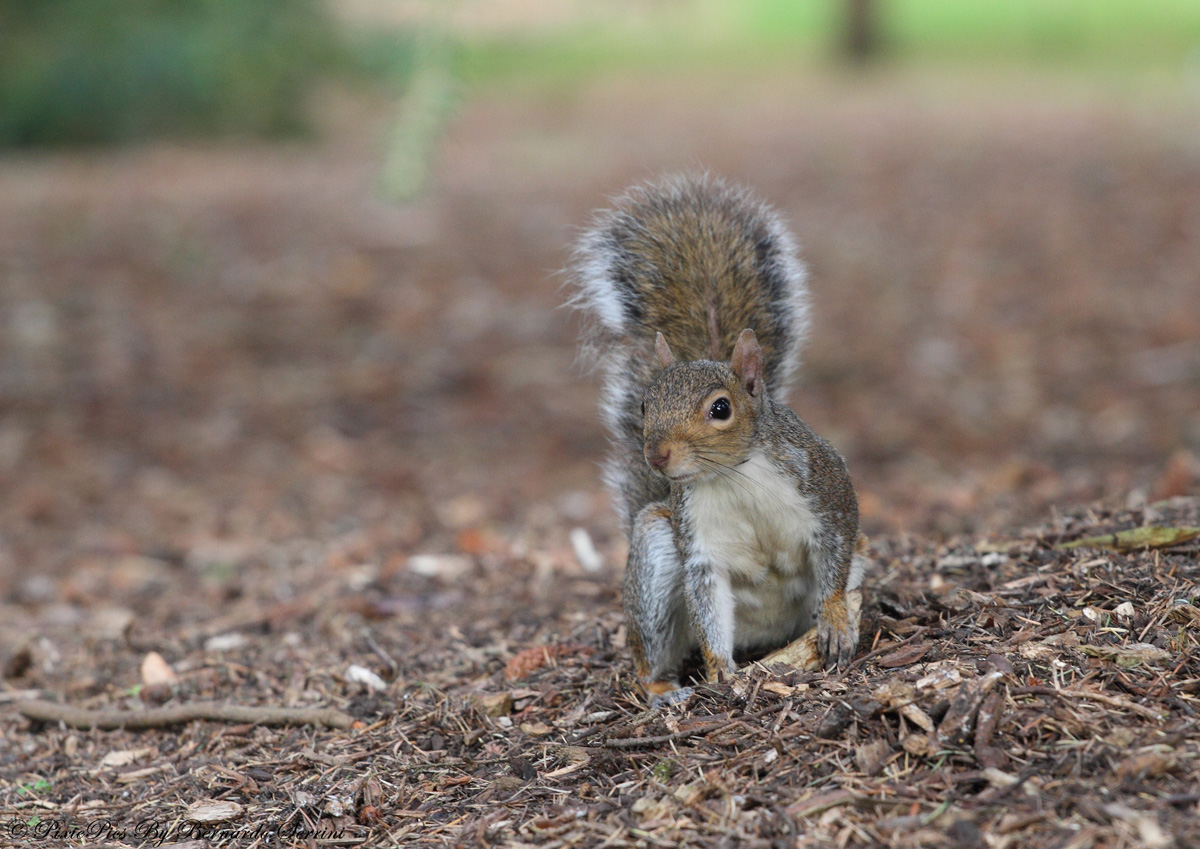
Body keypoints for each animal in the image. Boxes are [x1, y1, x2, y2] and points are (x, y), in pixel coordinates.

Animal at [570, 174, 865, 707]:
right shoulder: (700, 548)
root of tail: (763, 637)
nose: (656, 455)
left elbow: (834, 558)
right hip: (655, 557)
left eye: (721, 409)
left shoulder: (824, 489)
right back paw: (663, 687)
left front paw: (834, 621)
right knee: (651, 648)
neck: (734, 476)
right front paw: (721, 674)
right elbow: (707, 604)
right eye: (644, 406)